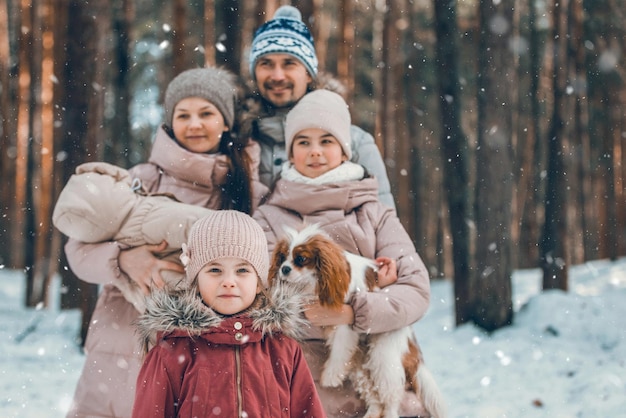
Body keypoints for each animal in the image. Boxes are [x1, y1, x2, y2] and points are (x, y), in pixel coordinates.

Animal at [266, 225, 444, 418]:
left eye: (301, 259)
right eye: (282, 257)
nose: (284, 269)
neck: (316, 280)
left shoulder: (344, 323)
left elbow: (339, 349)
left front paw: (330, 376)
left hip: (384, 355)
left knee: (390, 398)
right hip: (360, 365)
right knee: (374, 398)